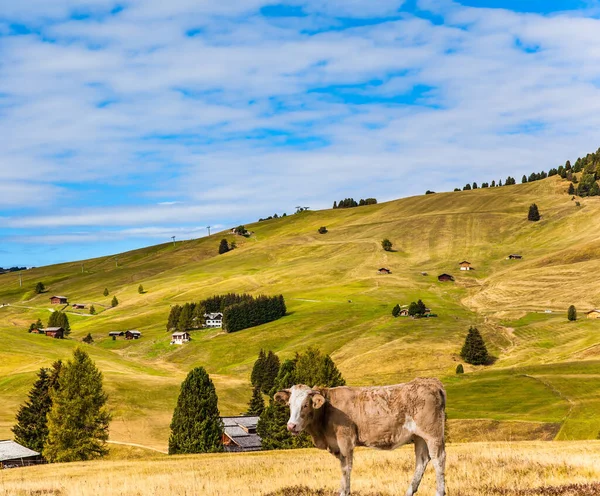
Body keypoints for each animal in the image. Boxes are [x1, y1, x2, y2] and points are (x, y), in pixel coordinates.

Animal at [276, 378, 446, 494]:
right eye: (289, 405)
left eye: (305, 404)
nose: (291, 426)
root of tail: (430, 382)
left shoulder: (345, 441)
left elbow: (346, 468)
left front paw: (344, 492)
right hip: (419, 436)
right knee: (422, 460)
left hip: (433, 434)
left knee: (438, 459)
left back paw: (439, 492)